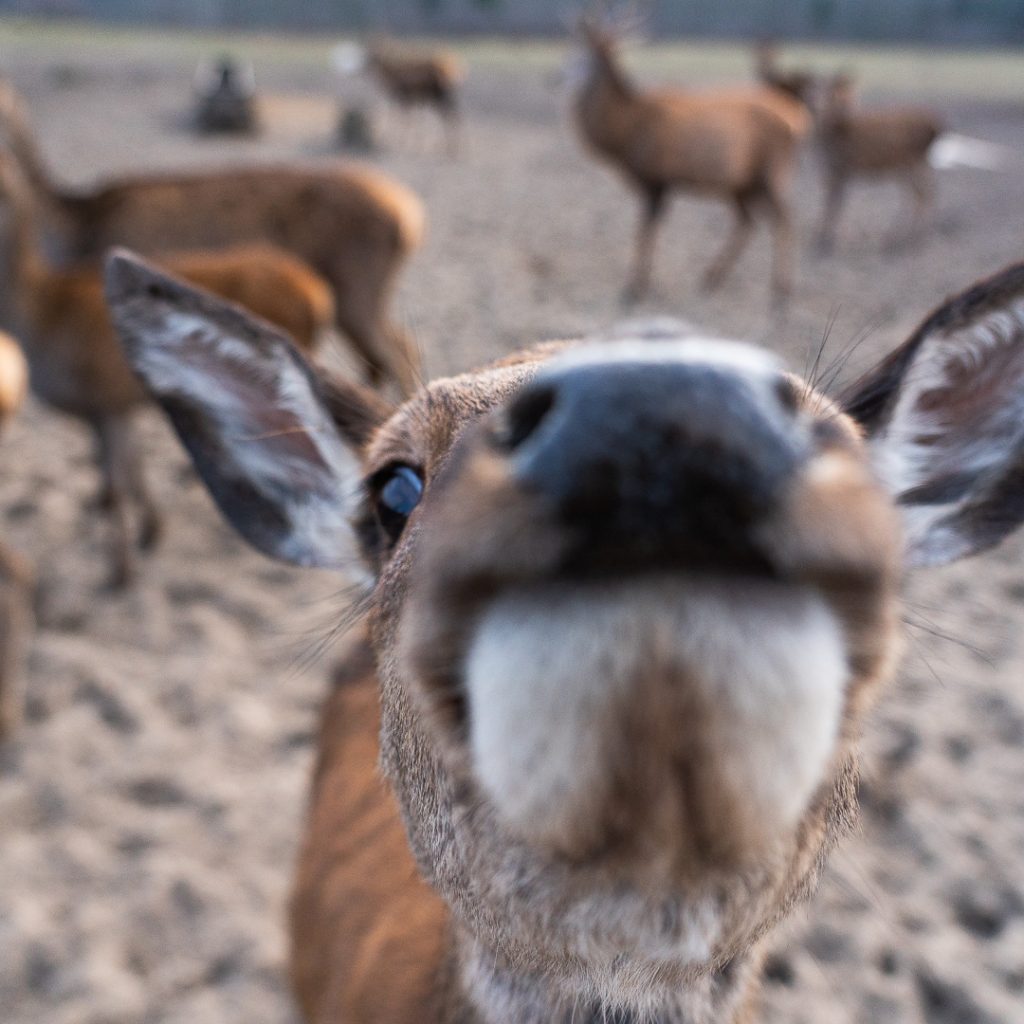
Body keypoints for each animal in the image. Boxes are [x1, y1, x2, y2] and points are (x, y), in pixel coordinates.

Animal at [569, 14, 806, 303]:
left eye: (579, 55)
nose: (552, 78)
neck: (625, 131)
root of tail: (798, 122)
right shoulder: (661, 185)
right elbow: (649, 230)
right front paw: (643, 283)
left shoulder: (654, 180)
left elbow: (644, 231)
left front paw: (635, 287)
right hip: (741, 184)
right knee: (749, 221)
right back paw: (712, 279)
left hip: (772, 171)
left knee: (785, 219)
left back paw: (781, 291)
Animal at [815, 74, 942, 253]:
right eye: (818, 89)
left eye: (834, 93)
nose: (817, 106)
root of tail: (937, 127)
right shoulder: (835, 170)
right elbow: (833, 202)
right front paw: (825, 239)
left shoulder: (841, 167)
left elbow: (834, 204)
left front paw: (829, 242)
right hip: (911, 164)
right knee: (922, 192)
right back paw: (907, 235)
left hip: (912, 161)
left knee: (922, 193)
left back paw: (909, 236)